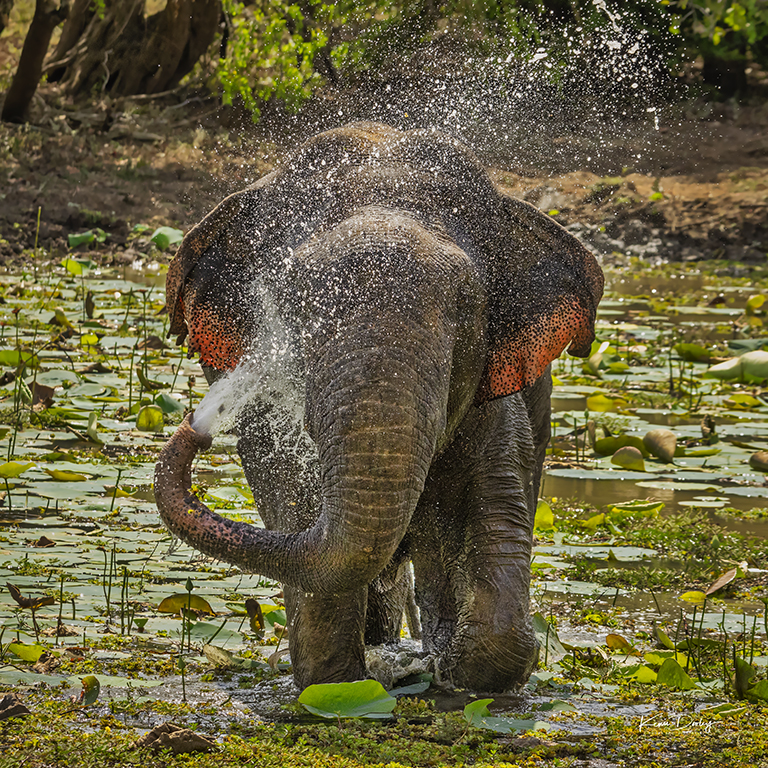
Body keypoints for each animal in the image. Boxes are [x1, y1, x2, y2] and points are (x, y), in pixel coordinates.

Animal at [153, 120, 604, 688]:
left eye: (466, 307)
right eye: (294, 307)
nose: (197, 422)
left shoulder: (498, 396)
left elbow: (493, 502)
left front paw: (452, 671)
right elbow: (296, 503)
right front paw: (344, 680)